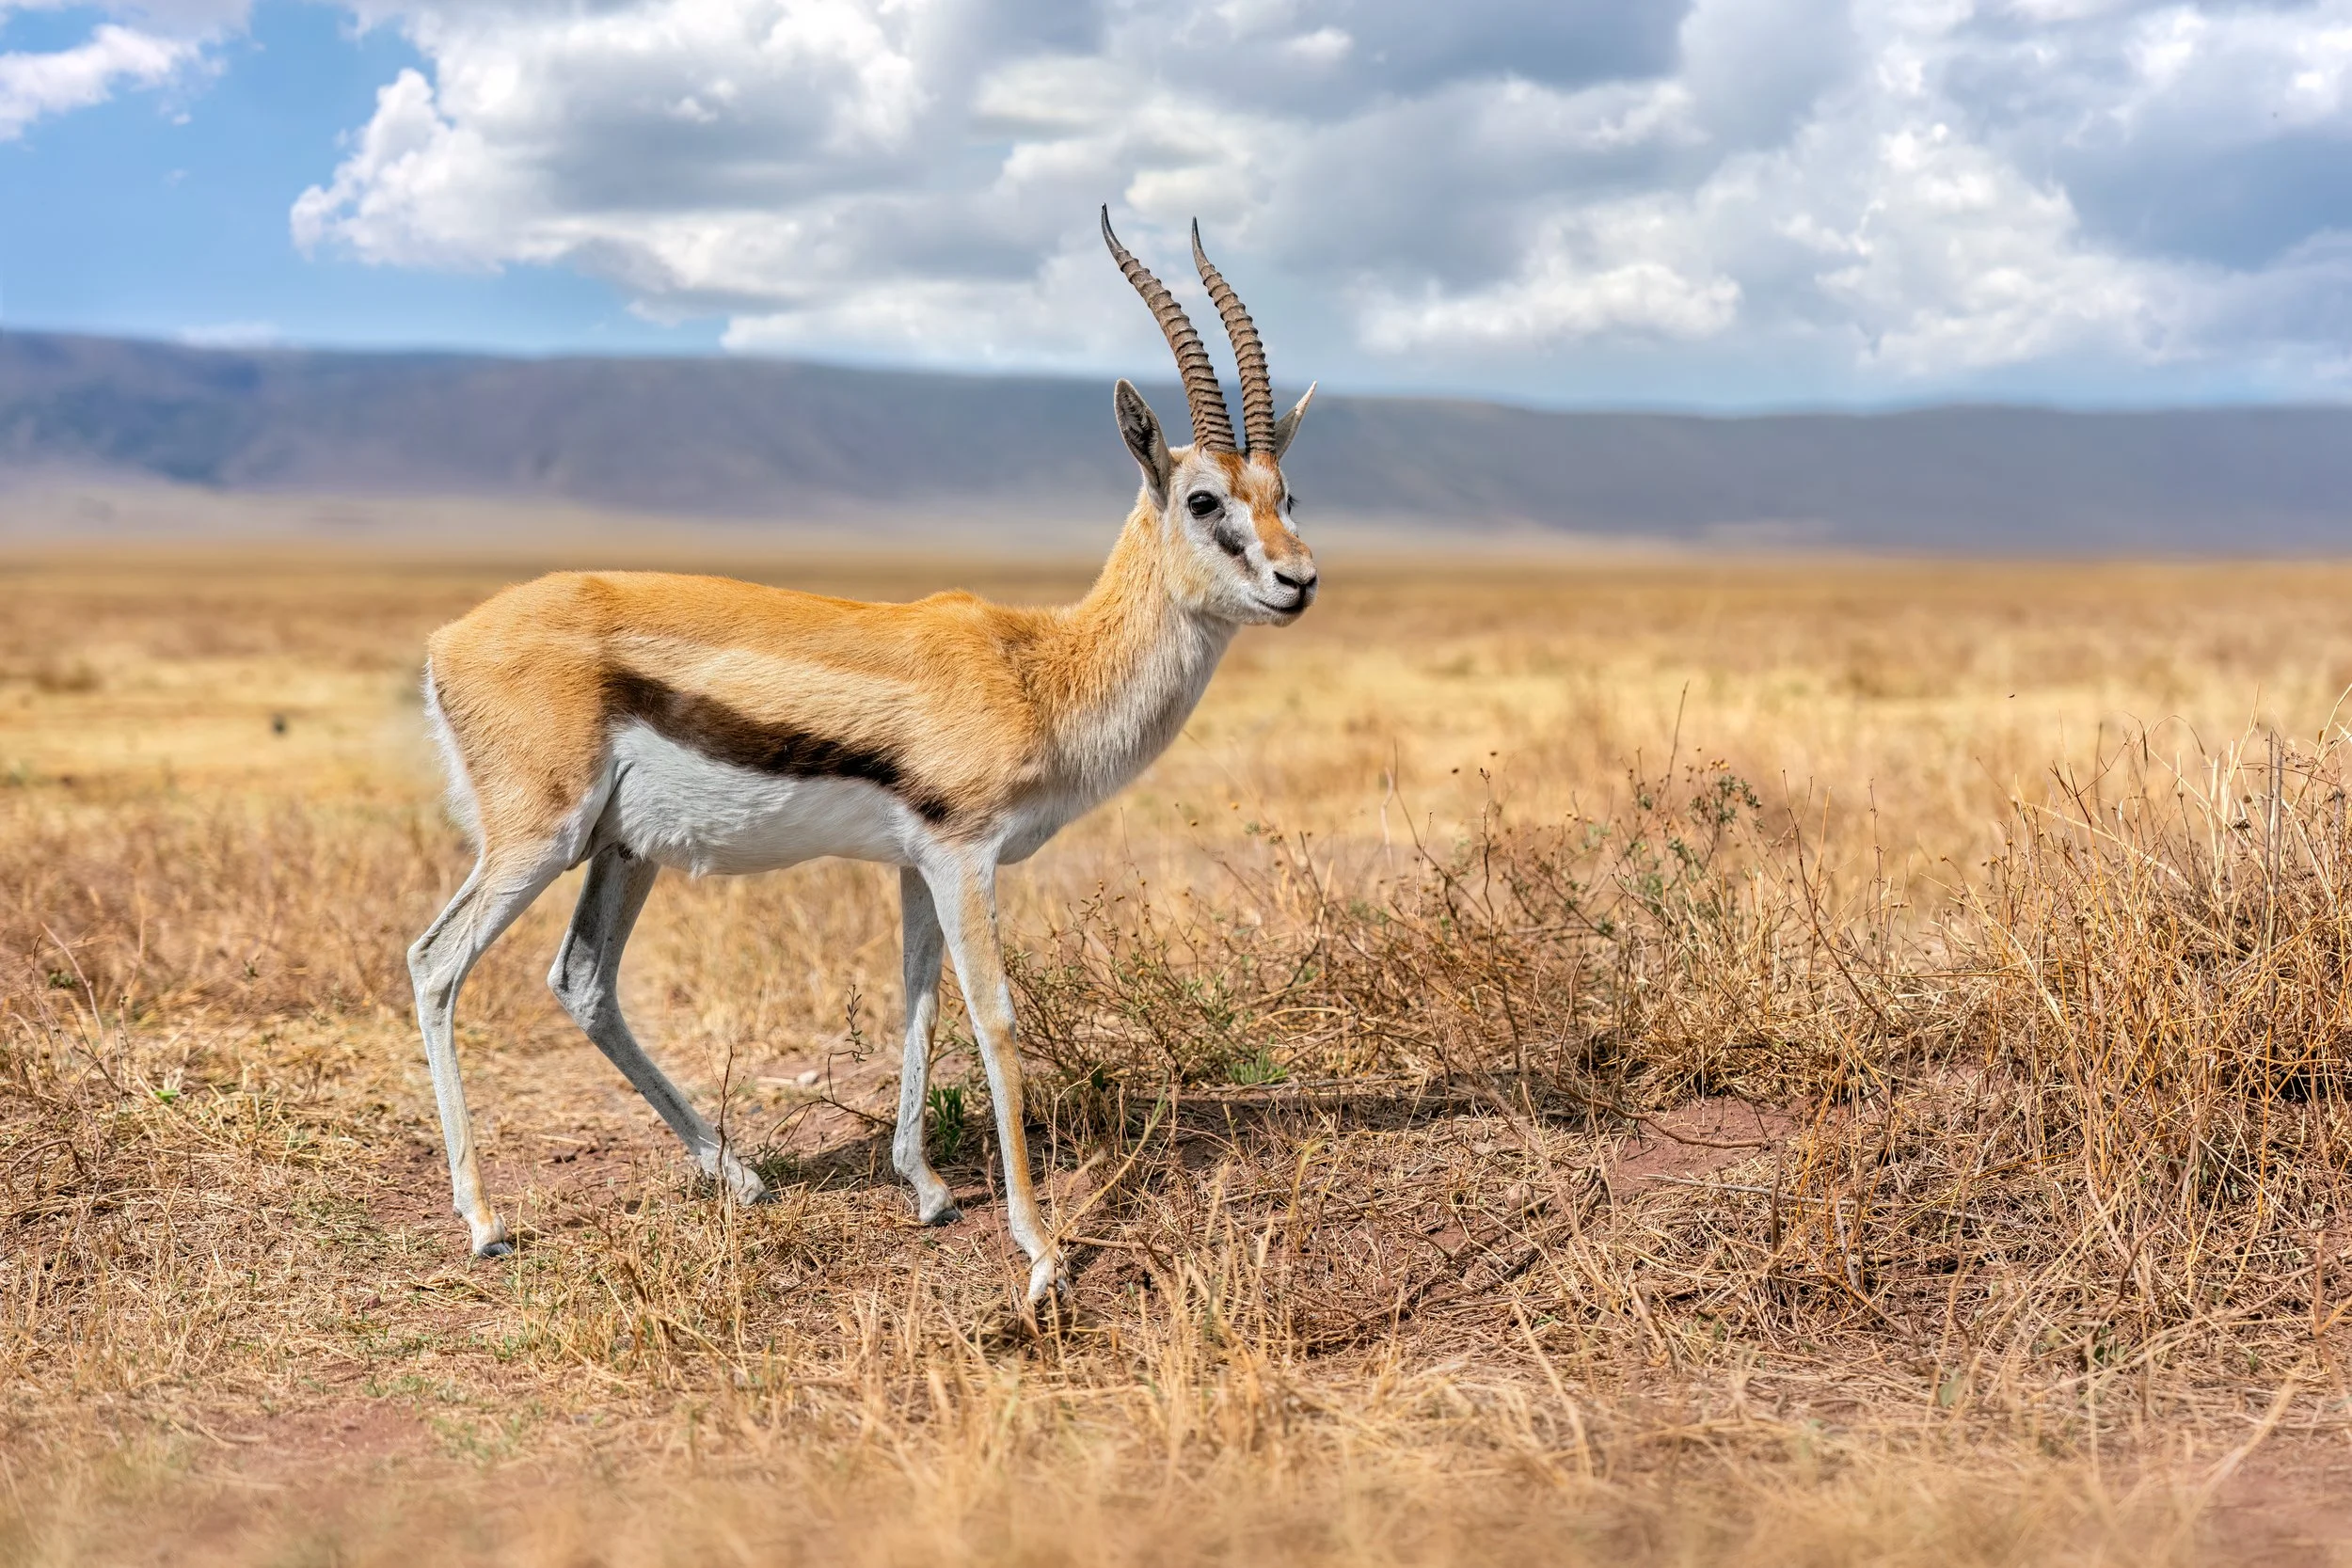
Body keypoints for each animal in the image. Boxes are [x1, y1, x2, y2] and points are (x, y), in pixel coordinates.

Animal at [406, 210, 1316, 1306]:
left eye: (1285, 490)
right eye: (1203, 500)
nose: (1299, 580)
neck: (1036, 667)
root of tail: (447, 641)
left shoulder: (918, 865)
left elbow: (918, 1005)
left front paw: (925, 1188)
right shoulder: (965, 857)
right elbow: (994, 1018)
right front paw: (1041, 1252)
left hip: (621, 851)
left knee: (582, 980)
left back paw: (742, 1177)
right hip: (538, 837)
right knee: (435, 963)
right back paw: (484, 1220)